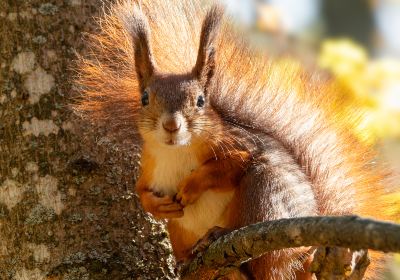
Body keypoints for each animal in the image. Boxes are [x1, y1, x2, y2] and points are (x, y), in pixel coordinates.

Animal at [75, 1, 390, 278]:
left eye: (201, 101)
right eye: (144, 99)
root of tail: (301, 258)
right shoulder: (149, 167)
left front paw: (191, 186)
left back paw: (222, 234)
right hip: (181, 231)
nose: (171, 125)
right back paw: (187, 260)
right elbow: (141, 193)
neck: (176, 151)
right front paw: (158, 206)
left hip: (265, 192)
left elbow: (227, 167)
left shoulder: (239, 146)